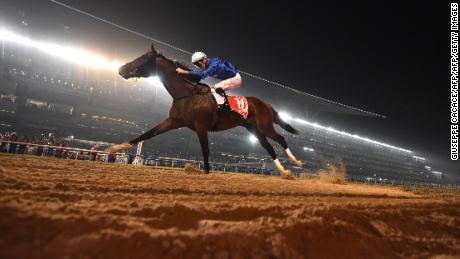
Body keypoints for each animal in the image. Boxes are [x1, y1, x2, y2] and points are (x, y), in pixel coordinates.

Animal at [108, 44, 302, 179]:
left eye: (143, 58)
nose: (121, 69)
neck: (186, 95)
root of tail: (265, 103)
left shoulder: (201, 127)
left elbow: (205, 150)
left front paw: (206, 173)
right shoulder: (173, 121)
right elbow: (146, 134)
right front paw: (115, 149)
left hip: (265, 125)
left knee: (280, 138)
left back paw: (295, 161)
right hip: (253, 128)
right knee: (268, 146)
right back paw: (284, 171)